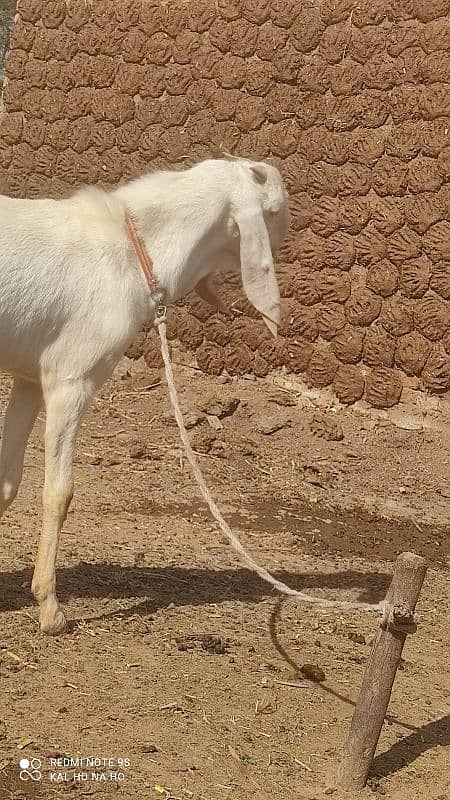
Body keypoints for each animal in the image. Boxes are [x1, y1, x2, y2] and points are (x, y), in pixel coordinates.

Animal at [0, 158, 288, 632]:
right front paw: (50, 609)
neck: (129, 251)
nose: (288, 236)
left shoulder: (30, 377)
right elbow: (59, 493)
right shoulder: (72, 380)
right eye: (277, 208)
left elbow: (7, 480)